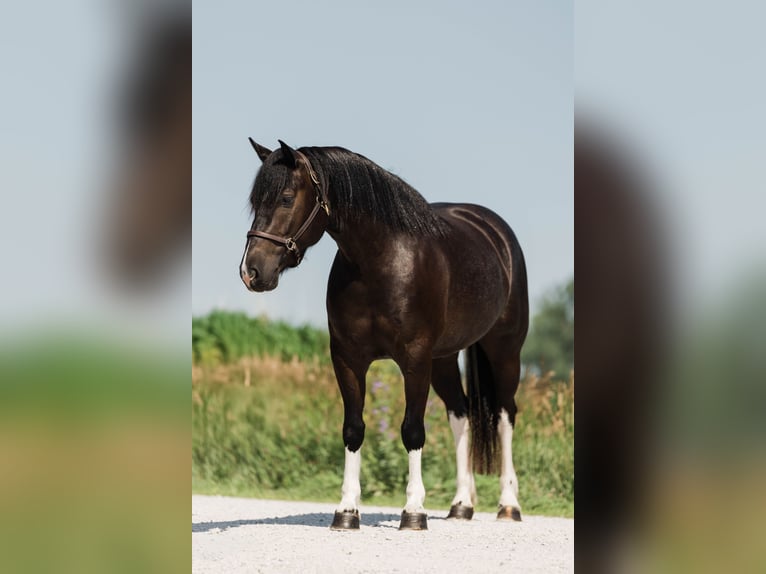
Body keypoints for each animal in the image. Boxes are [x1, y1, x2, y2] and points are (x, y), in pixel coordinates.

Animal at [239, 139, 529, 530]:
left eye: (285, 198)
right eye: (256, 202)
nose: (251, 272)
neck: (380, 262)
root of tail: (495, 232)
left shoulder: (415, 359)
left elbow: (412, 430)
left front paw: (413, 511)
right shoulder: (347, 359)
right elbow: (353, 428)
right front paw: (346, 511)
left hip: (504, 351)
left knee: (504, 414)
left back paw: (508, 505)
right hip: (444, 360)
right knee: (461, 414)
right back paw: (461, 505)